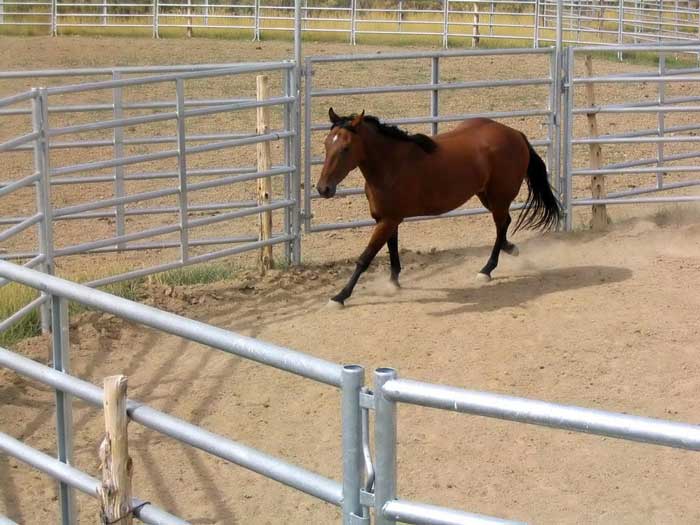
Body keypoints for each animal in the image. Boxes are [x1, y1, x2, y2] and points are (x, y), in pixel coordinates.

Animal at [314, 109, 560, 308]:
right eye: (326, 144)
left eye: (346, 148)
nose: (323, 189)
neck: (391, 165)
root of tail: (515, 134)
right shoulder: (386, 219)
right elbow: (392, 248)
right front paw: (394, 283)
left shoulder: (388, 220)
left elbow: (364, 258)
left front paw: (339, 297)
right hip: (485, 195)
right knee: (504, 223)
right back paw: (510, 250)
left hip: (499, 196)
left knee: (501, 224)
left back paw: (486, 270)